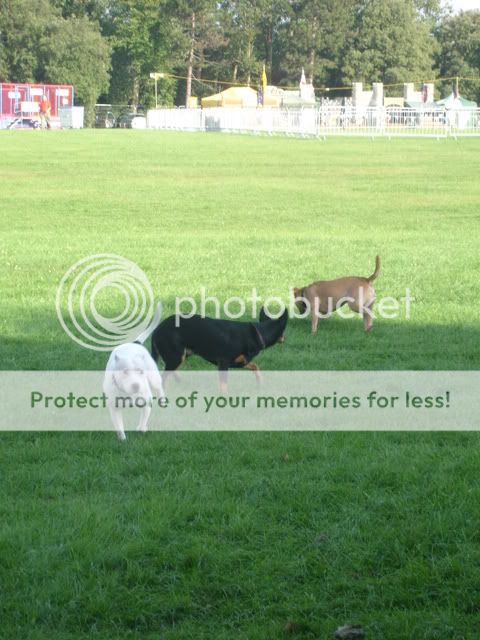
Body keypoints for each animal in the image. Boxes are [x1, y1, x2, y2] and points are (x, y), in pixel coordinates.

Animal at [103, 304, 165, 440]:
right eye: (125, 372)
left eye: (140, 371)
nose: (136, 385)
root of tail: (134, 343)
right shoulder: (114, 408)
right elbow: (119, 426)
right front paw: (122, 439)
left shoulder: (146, 401)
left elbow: (144, 418)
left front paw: (142, 428)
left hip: (154, 378)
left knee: (159, 388)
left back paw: (163, 401)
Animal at [152, 308, 286, 392]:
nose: (285, 338)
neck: (256, 333)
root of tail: (156, 330)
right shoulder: (224, 362)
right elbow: (224, 385)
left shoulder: (240, 362)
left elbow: (255, 367)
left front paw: (260, 384)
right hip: (176, 357)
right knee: (163, 379)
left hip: (181, 356)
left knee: (170, 374)